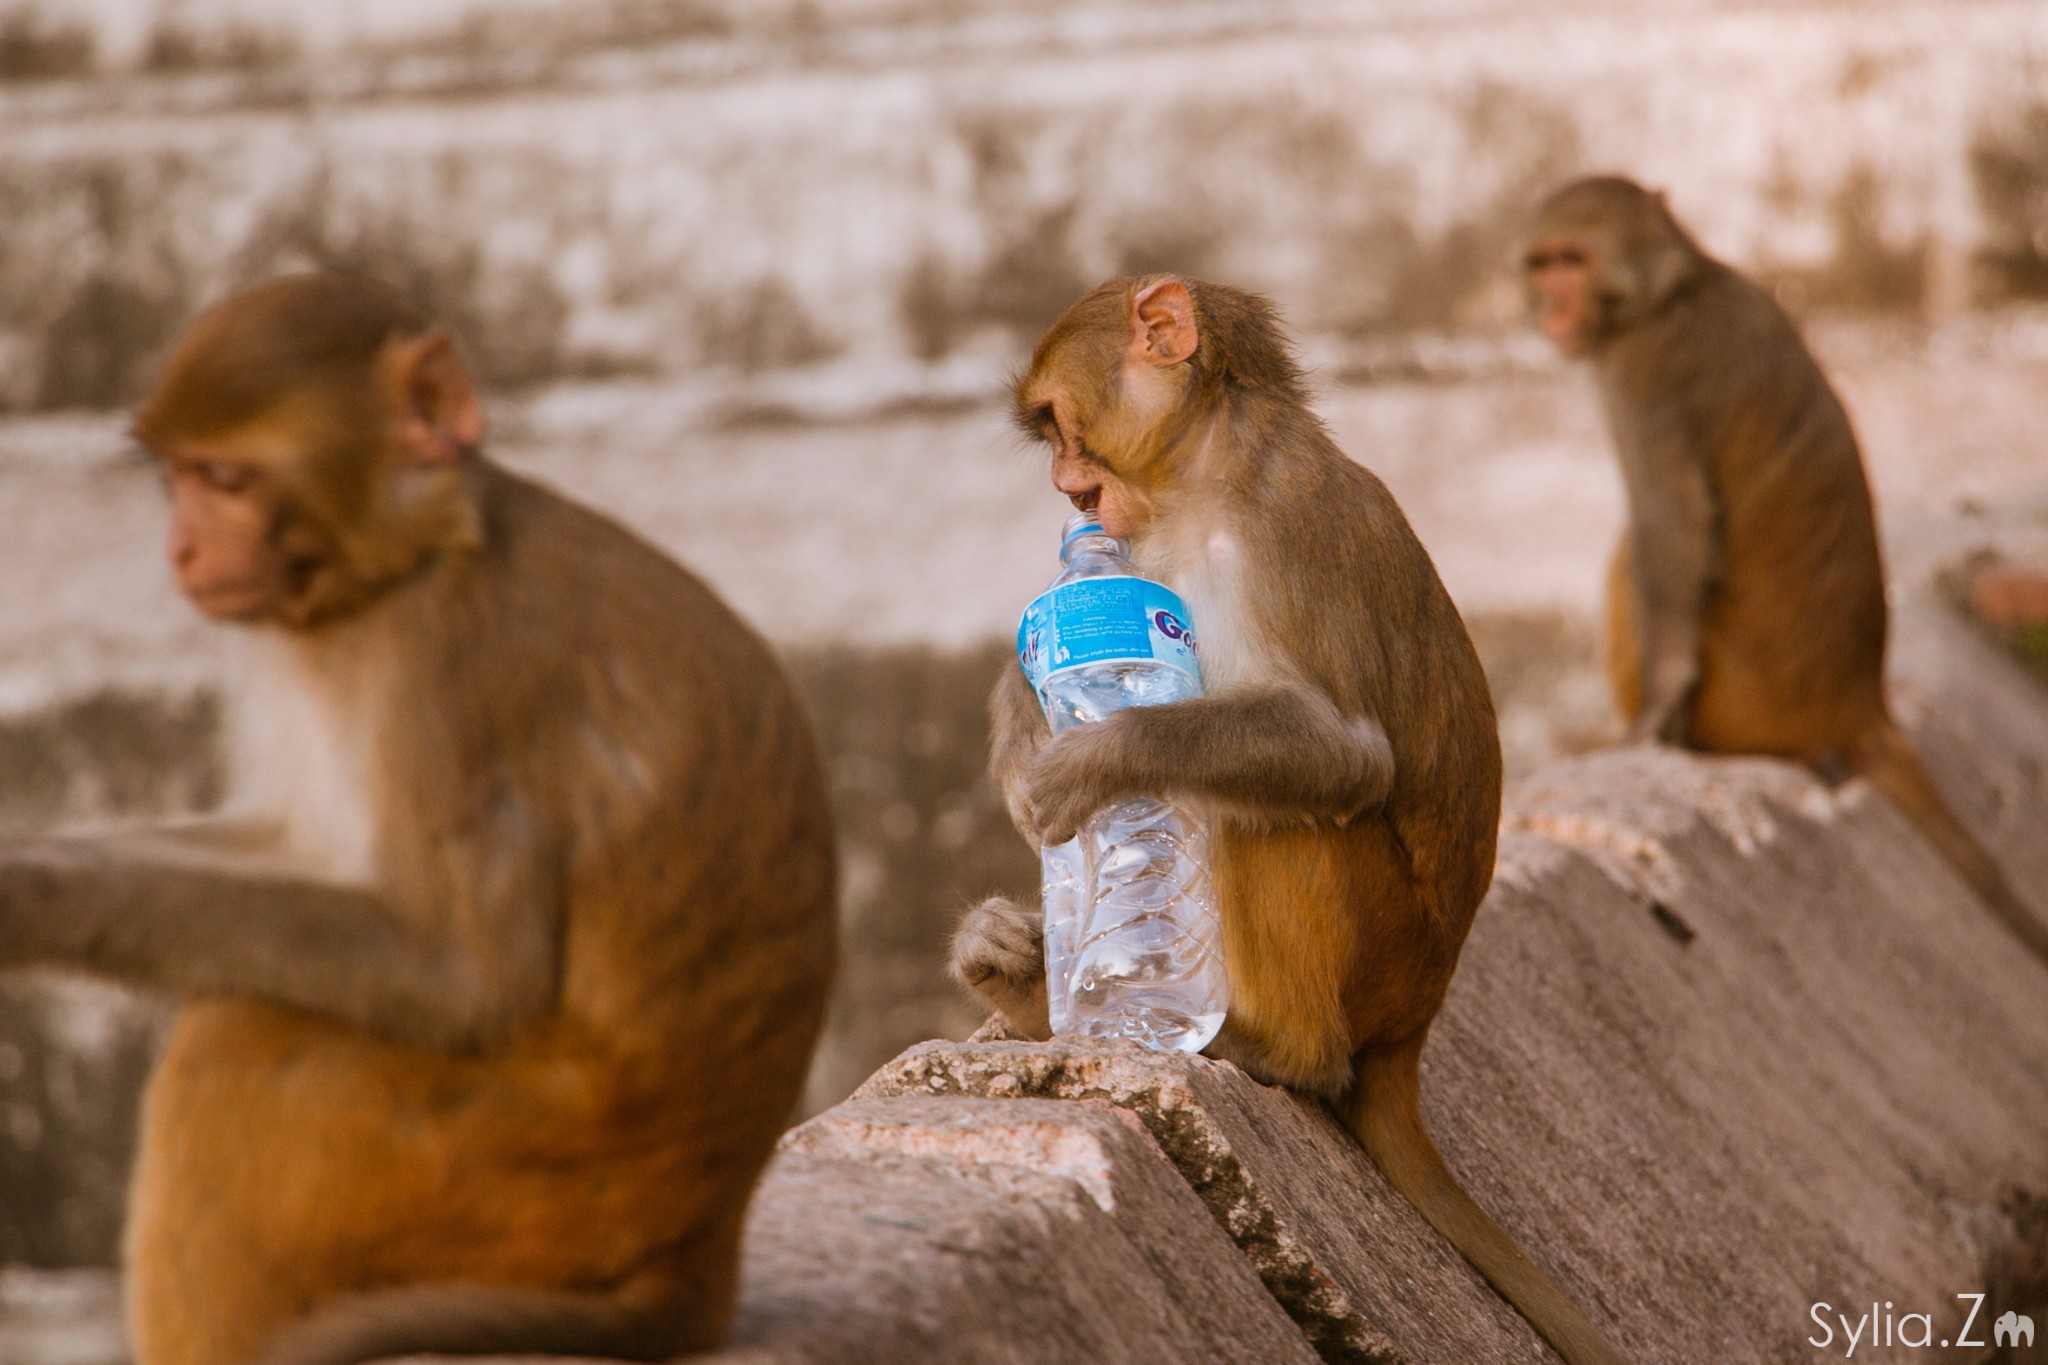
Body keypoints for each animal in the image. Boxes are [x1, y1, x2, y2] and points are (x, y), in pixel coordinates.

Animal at [0, 274, 839, 1365]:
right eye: (175, 477)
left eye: (227, 479)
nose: (180, 547)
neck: (416, 557)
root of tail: (700, 1252)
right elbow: (296, 846)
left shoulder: (448, 671)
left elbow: (466, 975)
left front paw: (25, 900)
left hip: (512, 1173)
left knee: (235, 1037)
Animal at [950, 274, 1638, 1365]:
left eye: (1056, 425)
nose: (1066, 487)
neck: (1203, 469)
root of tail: (1415, 1020)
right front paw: (1024, 718)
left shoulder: (1275, 527)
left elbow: (1341, 754)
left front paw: (1092, 758)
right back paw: (1020, 977)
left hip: (1376, 944)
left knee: (1264, 814)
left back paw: (1268, 1049)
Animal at [1523, 173, 2048, 961]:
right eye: (1544, 263)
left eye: (1574, 261)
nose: (1553, 304)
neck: (1677, 287)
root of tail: (1861, 701)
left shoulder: (1645, 372)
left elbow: (1673, 532)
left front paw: (1648, 725)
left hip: (1745, 705)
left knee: (1631, 550)